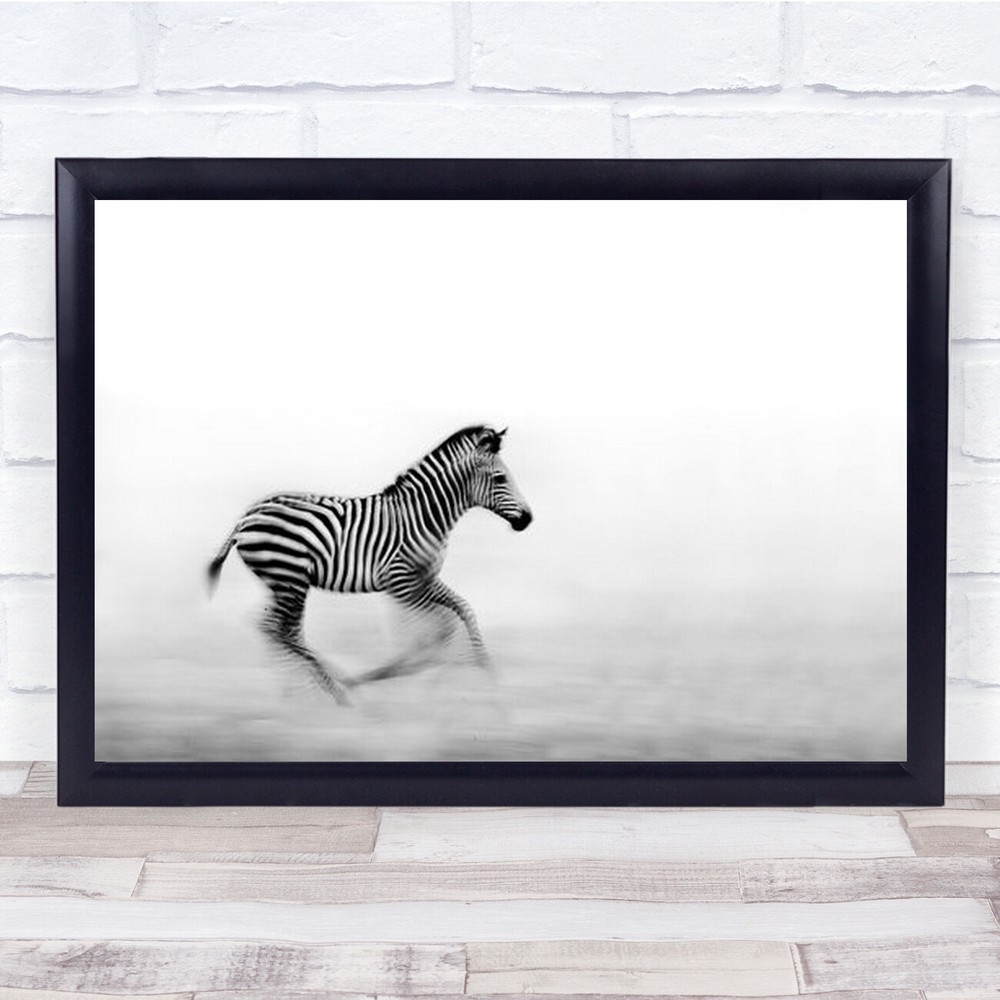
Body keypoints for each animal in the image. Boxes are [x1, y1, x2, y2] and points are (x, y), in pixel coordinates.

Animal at [207, 425, 532, 703]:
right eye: (500, 478)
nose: (528, 519)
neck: (425, 516)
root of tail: (246, 517)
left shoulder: (425, 580)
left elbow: (462, 612)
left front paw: (488, 673)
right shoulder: (401, 584)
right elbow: (432, 634)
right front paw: (401, 677)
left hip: (283, 581)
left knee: (274, 627)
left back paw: (298, 692)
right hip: (290, 578)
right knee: (280, 629)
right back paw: (334, 691)